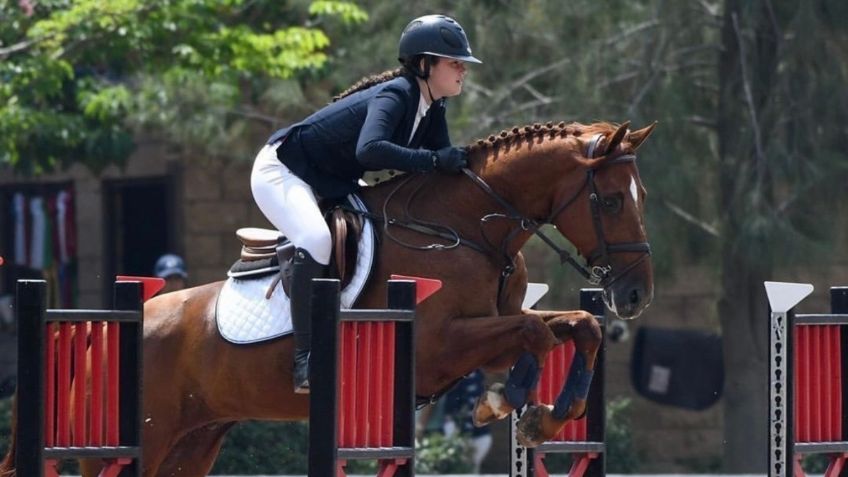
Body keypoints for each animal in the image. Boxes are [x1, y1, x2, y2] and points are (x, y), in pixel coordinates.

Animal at [0, 120, 656, 476]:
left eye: (640, 196)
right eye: (610, 201)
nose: (635, 294)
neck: (468, 228)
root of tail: (101, 328)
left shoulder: (493, 325)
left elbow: (573, 325)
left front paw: (545, 411)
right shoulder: (438, 346)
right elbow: (536, 333)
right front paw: (513, 401)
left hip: (191, 445)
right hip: (136, 441)